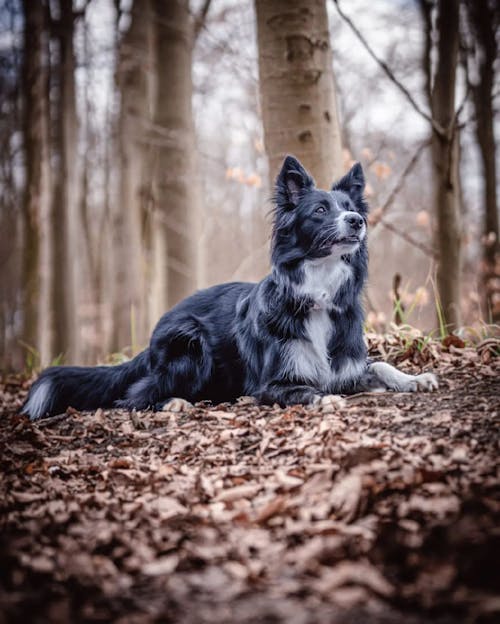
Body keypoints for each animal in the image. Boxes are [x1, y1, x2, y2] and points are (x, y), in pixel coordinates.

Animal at [22, 156, 438, 422]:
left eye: (350, 206)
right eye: (320, 210)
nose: (355, 221)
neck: (316, 293)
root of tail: (157, 330)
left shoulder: (346, 368)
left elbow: (380, 364)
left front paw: (414, 379)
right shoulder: (272, 384)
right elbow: (306, 390)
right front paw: (326, 400)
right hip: (190, 343)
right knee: (134, 396)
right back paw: (173, 403)